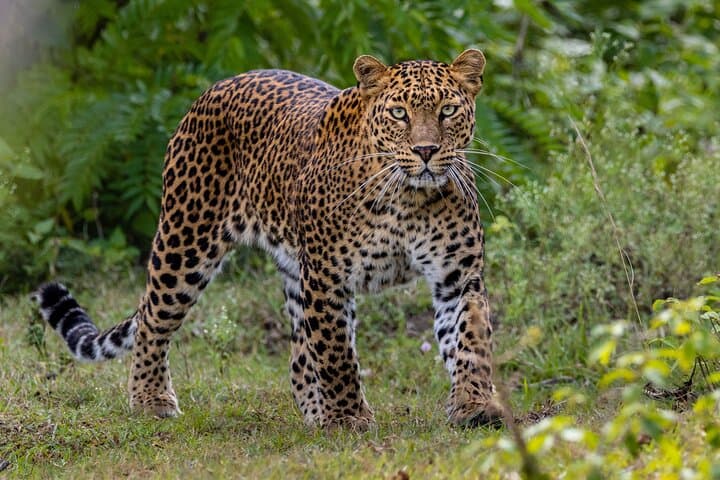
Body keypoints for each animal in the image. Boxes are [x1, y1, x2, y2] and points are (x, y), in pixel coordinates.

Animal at [33, 49, 504, 430]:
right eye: (399, 114)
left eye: (448, 110)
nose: (426, 151)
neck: (409, 197)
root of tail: (217, 86)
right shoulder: (327, 277)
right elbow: (337, 355)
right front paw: (349, 418)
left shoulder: (457, 276)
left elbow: (470, 339)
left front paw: (475, 405)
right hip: (187, 239)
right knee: (153, 319)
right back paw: (150, 400)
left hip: (293, 270)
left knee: (298, 355)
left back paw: (315, 412)